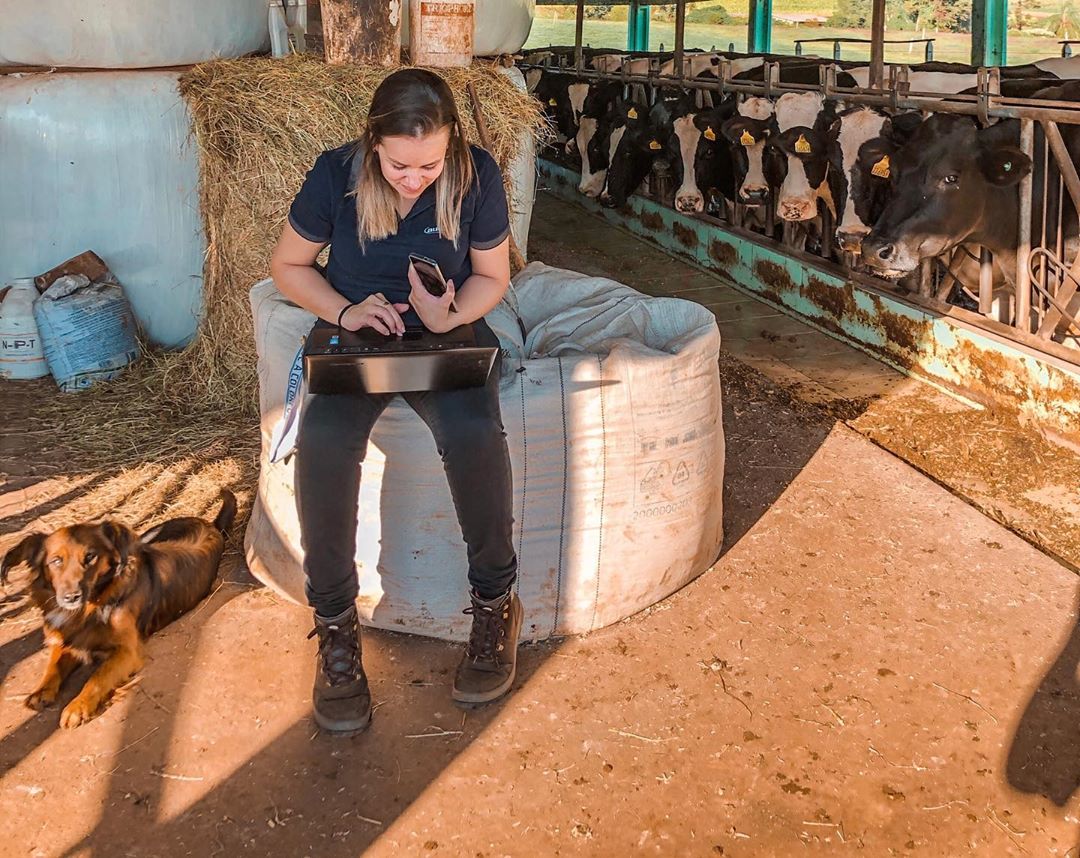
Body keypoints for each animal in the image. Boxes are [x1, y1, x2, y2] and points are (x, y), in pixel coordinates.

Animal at [0, 490, 236, 726]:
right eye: (56, 561)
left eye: (90, 556)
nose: (71, 597)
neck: (91, 606)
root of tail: (209, 524)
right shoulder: (70, 639)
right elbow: (54, 665)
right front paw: (41, 691)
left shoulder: (127, 651)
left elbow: (98, 677)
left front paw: (78, 705)